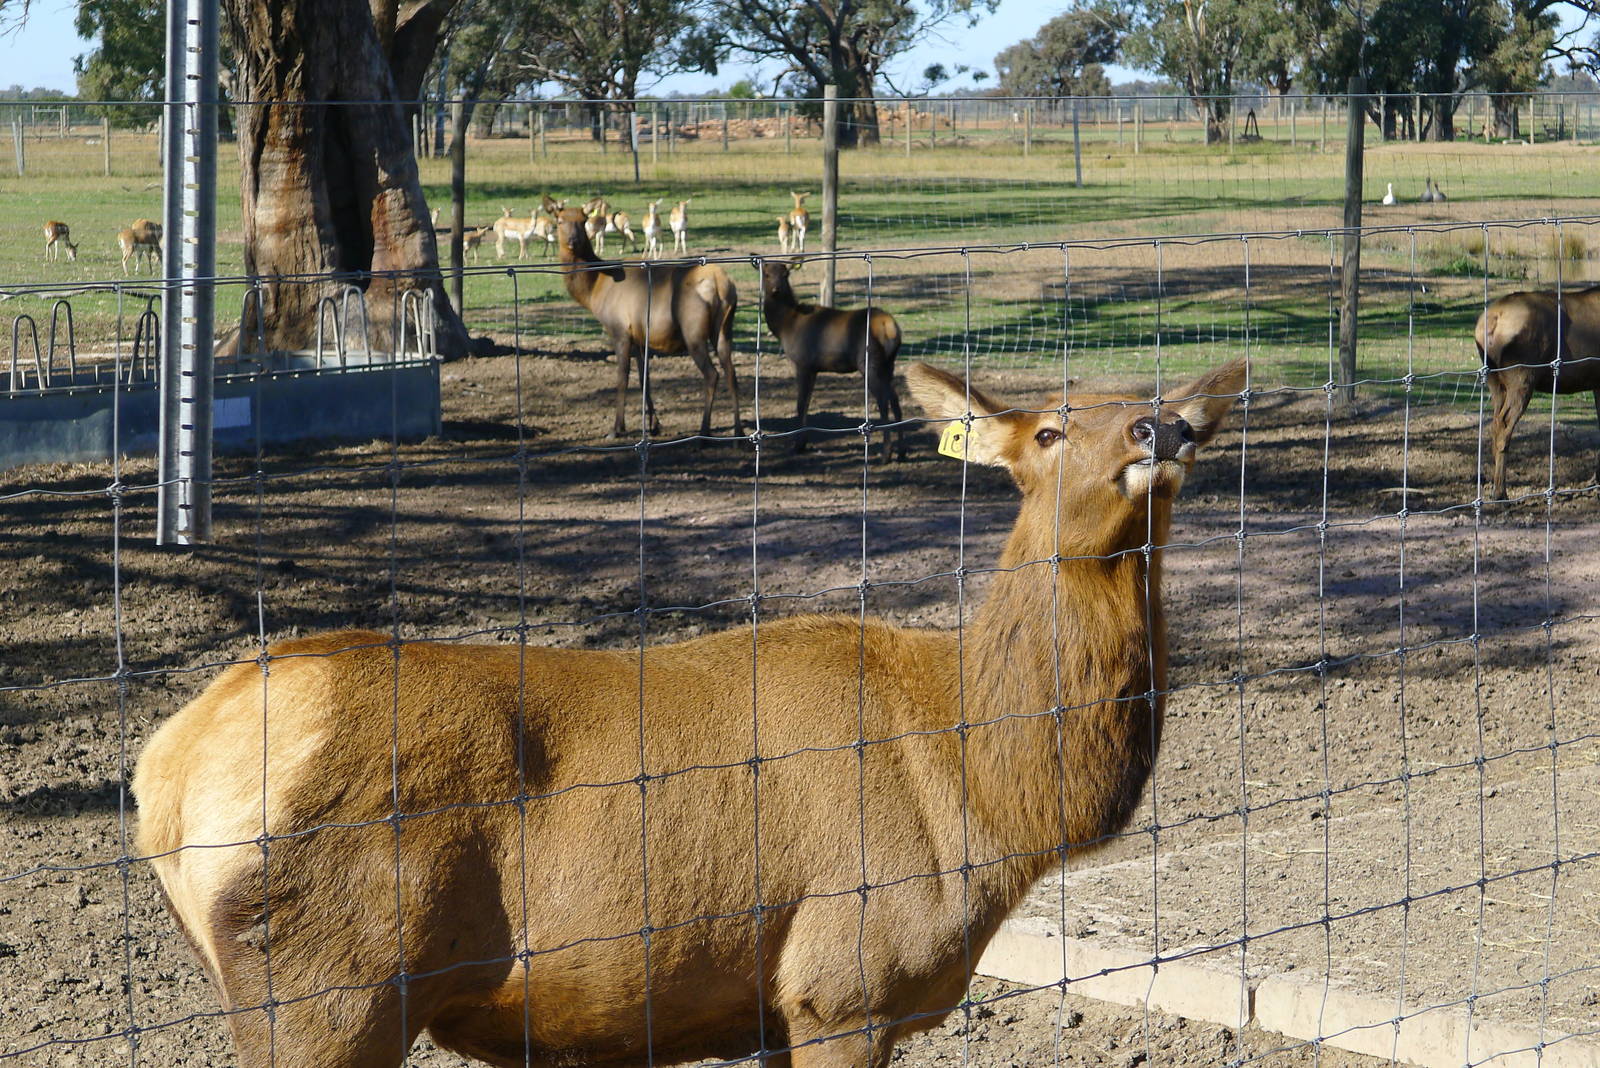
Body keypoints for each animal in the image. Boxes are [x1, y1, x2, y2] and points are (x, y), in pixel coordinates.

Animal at [132, 357, 1246, 1068]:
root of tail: (164, 774)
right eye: (1049, 429)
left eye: (1154, 404)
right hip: (329, 989)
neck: (987, 796)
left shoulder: (771, 1007)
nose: (1162, 428)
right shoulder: (844, 981)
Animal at [554, 206, 740, 438]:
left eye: (582, 220)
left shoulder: (620, 331)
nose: (573, 241)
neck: (593, 291)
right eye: (560, 220)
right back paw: (739, 432)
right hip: (724, 329)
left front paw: (617, 427)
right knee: (732, 373)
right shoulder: (639, 337)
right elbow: (645, 378)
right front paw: (654, 425)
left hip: (693, 331)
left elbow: (623, 377)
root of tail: (721, 284)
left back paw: (704, 431)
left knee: (712, 374)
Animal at [760, 259, 905, 461]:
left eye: (785, 274)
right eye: (766, 274)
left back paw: (886, 454)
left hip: (868, 362)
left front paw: (798, 445)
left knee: (883, 402)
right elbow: (806, 403)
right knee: (895, 399)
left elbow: (800, 404)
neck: (784, 326)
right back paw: (902, 452)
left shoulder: (802, 362)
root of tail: (890, 326)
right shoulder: (813, 368)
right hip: (888, 364)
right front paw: (803, 443)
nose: (776, 289)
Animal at [1475, 285, 1600, 500]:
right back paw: (1500, 492)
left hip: (1494, 381)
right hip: (1522, 375)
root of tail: (1490, 321)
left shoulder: (1597, 384)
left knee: (1494, 423)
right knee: (1504, 427)